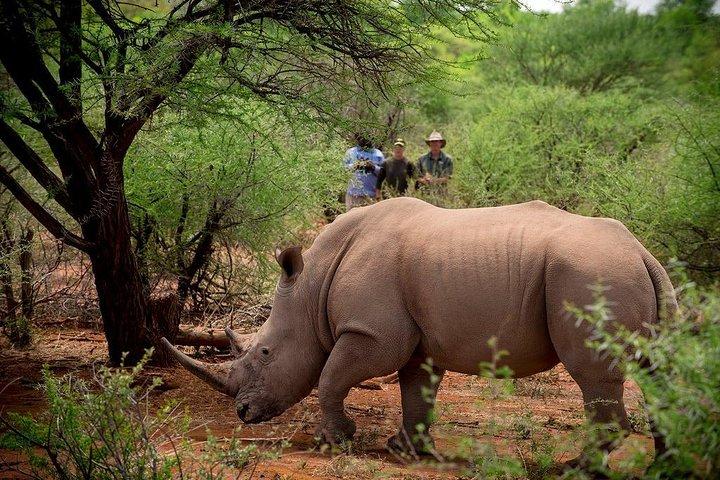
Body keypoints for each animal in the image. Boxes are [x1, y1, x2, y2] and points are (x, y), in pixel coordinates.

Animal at [163, 197, 675, 461]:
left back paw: (575, 467)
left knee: (592, 374)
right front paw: (406, 450)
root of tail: (641, 252)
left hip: (591, 274)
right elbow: (417, 390)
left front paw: (334, 442)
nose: (243, 413)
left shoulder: (370, 332)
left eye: (264, 353)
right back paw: (665, 464)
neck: (311, 286)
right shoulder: (416, 340)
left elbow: (331, 376)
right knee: (656, 372)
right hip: (621, 273)